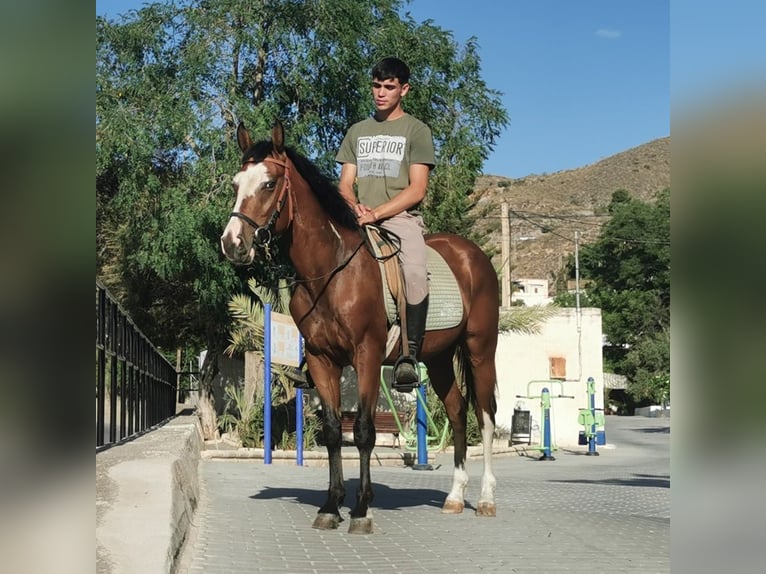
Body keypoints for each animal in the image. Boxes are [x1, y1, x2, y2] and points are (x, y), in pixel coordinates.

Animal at [220, 121, 499, 534]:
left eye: (269, 184)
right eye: (237, 184)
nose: (232, 243)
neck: (332, 271)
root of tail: (472, 254)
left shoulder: (366, 356)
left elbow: (365, 431)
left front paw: (361, 509)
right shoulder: (322, 360)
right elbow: (335, 432)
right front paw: (331, 505)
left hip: (480, 350)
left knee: (486, 415)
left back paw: (485, 499)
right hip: (439, 358)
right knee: (457, 411)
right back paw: (453, 497)